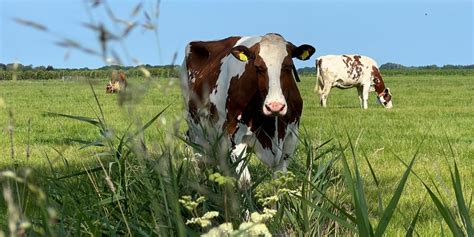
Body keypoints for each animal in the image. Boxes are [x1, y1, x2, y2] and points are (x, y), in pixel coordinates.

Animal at [181, 33, 314, 186]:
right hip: (195, 126)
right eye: (258, 67)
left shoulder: (291, 138)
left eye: (288, 66)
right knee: (197, 156)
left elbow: (279, 180)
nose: (275, 106)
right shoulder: (234, 135)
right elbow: (245, 181)